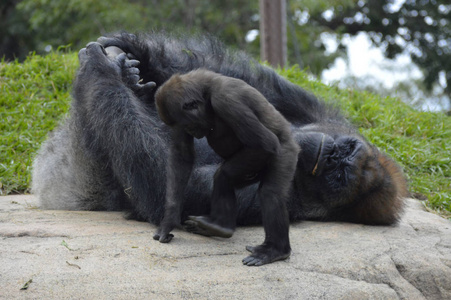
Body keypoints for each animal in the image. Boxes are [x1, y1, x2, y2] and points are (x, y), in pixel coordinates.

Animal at [154, 69, 300, 266]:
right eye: (183, 126)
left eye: (188, 125)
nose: (192, 131)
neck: (205, 92)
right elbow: (181, 155)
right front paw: (169, 219)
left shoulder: (226, 100)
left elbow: (265, 144)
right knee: (227, 179)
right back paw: (219, 226)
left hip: (286, 153)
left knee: (268, 192)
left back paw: (274, 249)